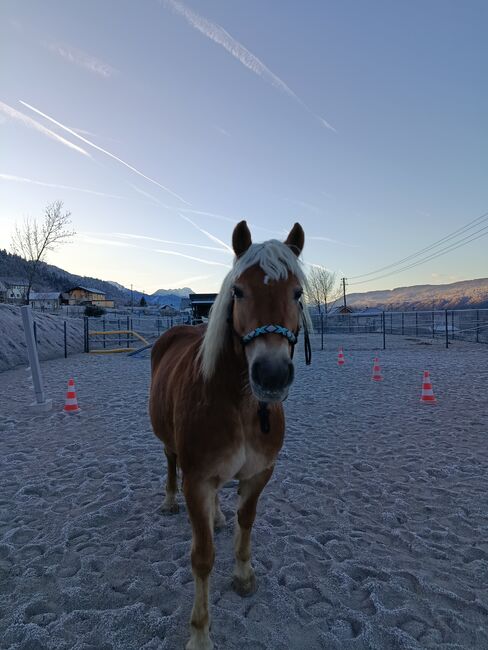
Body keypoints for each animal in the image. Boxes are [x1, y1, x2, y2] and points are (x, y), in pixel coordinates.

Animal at [149, 220, 311, 650]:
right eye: (238, 291)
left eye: (298, 293)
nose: (271, 374)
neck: (240, 405)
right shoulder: (196, 481)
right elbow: (202, 558)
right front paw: (200, 634)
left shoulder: (258, 474)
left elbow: (246, 521)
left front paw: (243, 576)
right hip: (169, 445)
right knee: (169, 463)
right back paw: (169, 501)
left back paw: (218, 516)